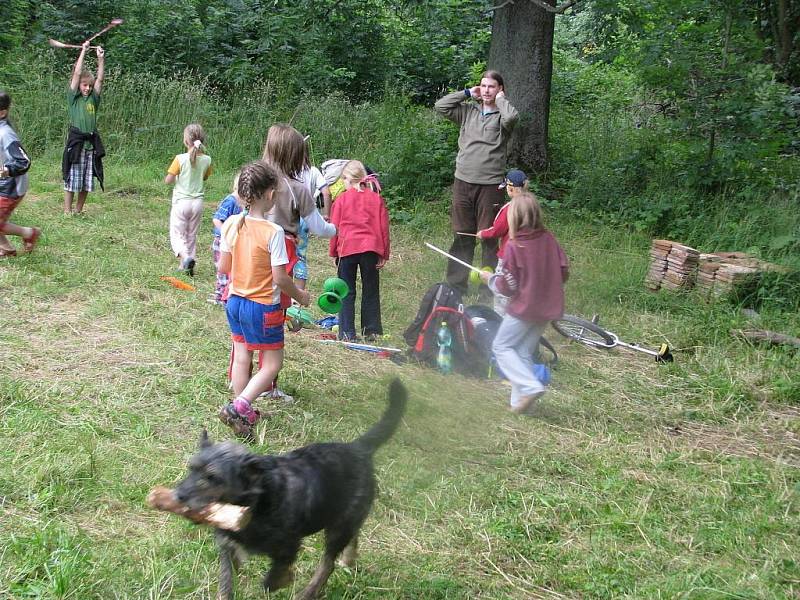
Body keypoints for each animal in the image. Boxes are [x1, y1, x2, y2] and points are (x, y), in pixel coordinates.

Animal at [175, 380, 406, 600]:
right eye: (191, 469)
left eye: (212, 478)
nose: (178, 496)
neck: (256, 504)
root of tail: (357, 448)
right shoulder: (227, 545)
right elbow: (226, 580)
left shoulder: (289, 545)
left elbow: (273, 578)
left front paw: (283, 580)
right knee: (353, 535)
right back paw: (348, 559)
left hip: (339, 526)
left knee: (328, 563)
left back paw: (309, 592)